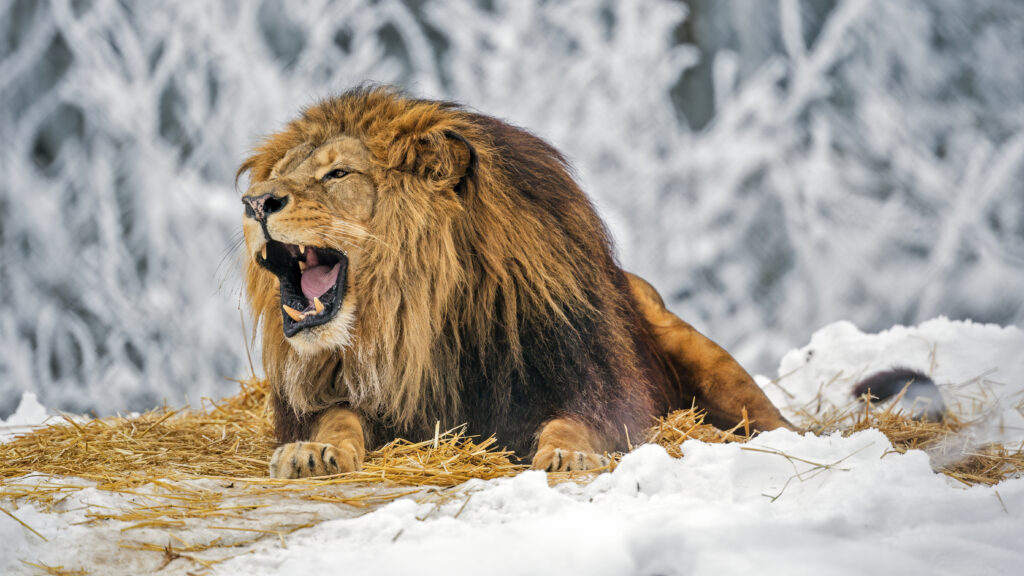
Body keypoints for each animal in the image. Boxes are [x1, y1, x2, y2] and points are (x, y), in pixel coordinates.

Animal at [238, 87, 795, 478]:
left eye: (338, 174)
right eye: (278, 173)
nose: (255, 202)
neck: (422, 321)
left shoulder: (591, 385)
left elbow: (573, 423)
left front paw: (570, 457)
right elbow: (338, 420)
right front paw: (312, 452)